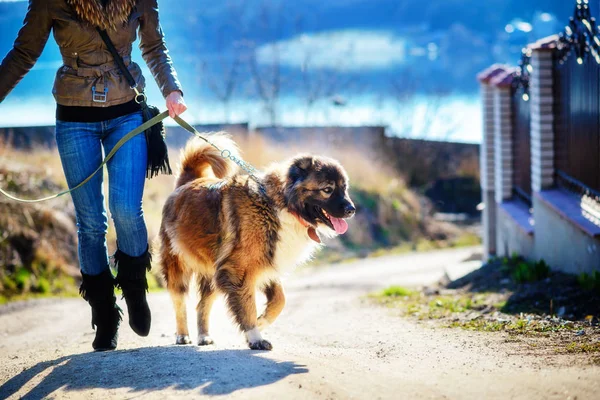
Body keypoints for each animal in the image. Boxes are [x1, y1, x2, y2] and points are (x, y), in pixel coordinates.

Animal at [159, 134, 356, 350]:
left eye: (344, 188)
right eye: (327, 189)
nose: (351, 209)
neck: (280, 204)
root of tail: (189, 180)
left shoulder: (266, 262)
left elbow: (280, 300)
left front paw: (261, 321)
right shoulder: (239, 269)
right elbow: (248, 305)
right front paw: (255, 337)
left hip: (213, 274)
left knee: (203, 304)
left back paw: (204, 336)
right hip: (178, 266)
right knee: (179, 302)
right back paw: (182, 335)